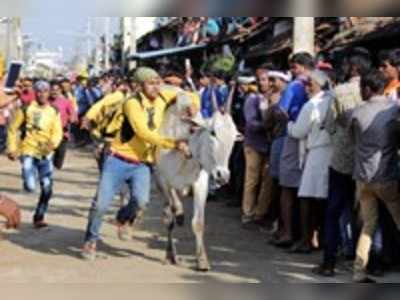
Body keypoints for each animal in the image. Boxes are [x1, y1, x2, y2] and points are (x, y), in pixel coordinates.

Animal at [155, 92, 239, 270]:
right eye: (213, 132)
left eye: (235, 135)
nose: (223, 175)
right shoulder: (164, 181)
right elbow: (171, 215)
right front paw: (170, 254)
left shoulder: (201, 183)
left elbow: (198, 223)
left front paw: (202, 260)